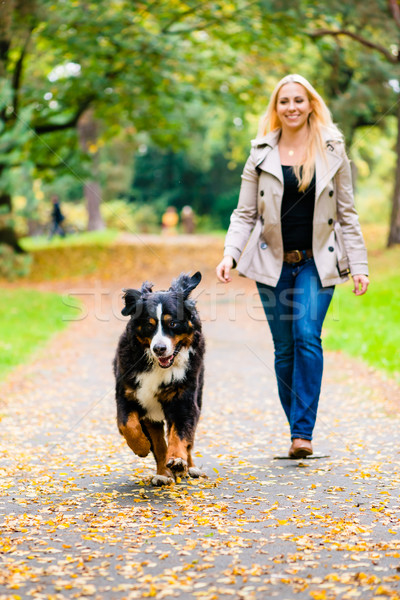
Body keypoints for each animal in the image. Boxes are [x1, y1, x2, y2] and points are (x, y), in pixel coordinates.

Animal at [113, 272, 205, 488]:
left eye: (173, 323)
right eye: (149, 325)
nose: (159, 349)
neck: (157, 366)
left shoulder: (183, 400)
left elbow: (180, 434)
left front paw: (178, 460)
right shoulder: (127, 394)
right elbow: (128, 426)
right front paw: (141, 447)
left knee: (188, 439)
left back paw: (189, 467)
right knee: (159, 444)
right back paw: (163, 474)